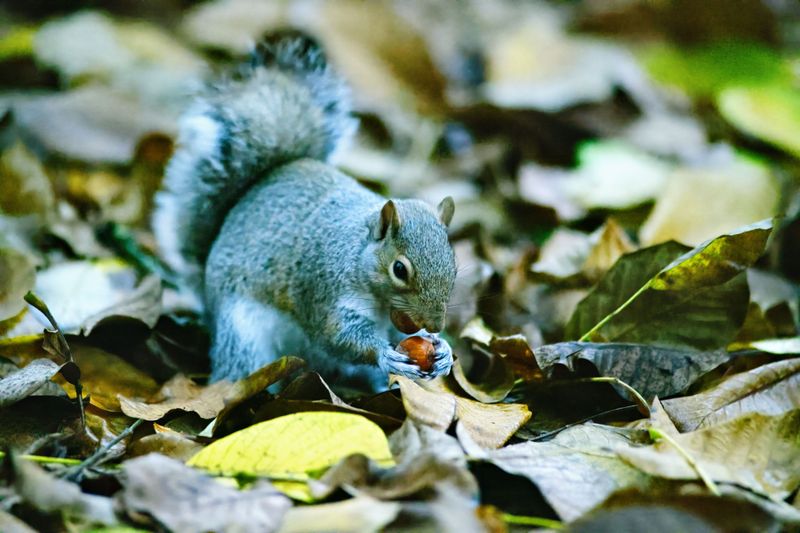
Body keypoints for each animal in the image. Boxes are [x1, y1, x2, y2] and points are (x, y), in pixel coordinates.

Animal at [153, 34, 457, 390]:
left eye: (453, 265)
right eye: (399, 269)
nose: (435, 324)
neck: (357, 254)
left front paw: (443, 350)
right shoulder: (323, 286)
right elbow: (336, 333)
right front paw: (386, 355)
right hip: (243, 333)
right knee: (240, 366)